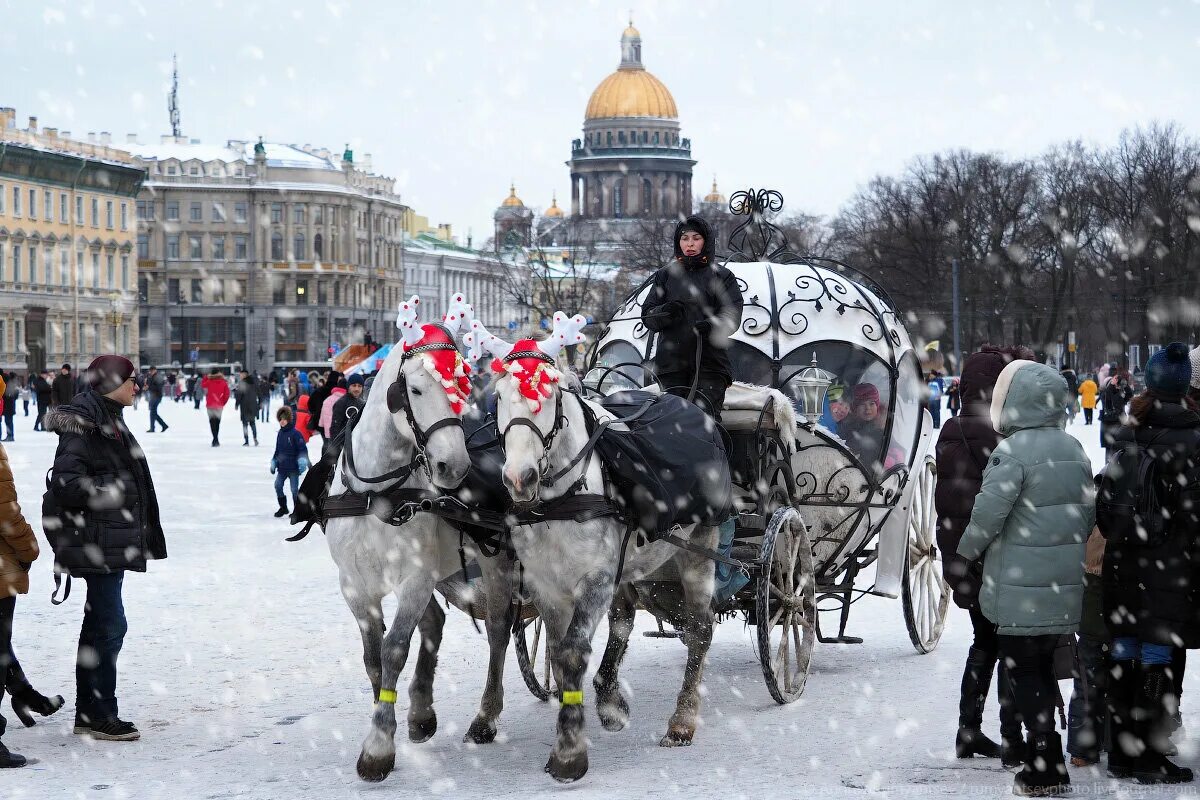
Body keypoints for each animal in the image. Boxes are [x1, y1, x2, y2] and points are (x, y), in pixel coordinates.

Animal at [324, 296, 520, 782]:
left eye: (464, 386)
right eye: (413, 389)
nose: (454, 466)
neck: (378, 497)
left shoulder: (413, 579)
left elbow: (395, 649)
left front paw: (378, 747)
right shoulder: (355, 587)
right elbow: (373, 657)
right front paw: (391, 722)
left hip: (496, 564)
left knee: (498, 630)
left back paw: (485, 717)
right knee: (437, 622)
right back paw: (421, 713)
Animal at [470, 311, 715, 782]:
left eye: (548, 397)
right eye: (499, 397)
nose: (519, 478)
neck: (560, 500)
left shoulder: (597, 579)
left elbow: (571, 651)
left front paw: (568, 753)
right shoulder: (547, 586)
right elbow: (558, 650)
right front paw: (580, 721)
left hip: (698, 551)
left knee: (699, 630)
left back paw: (682, 720)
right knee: (623, 621)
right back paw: (609, 699)